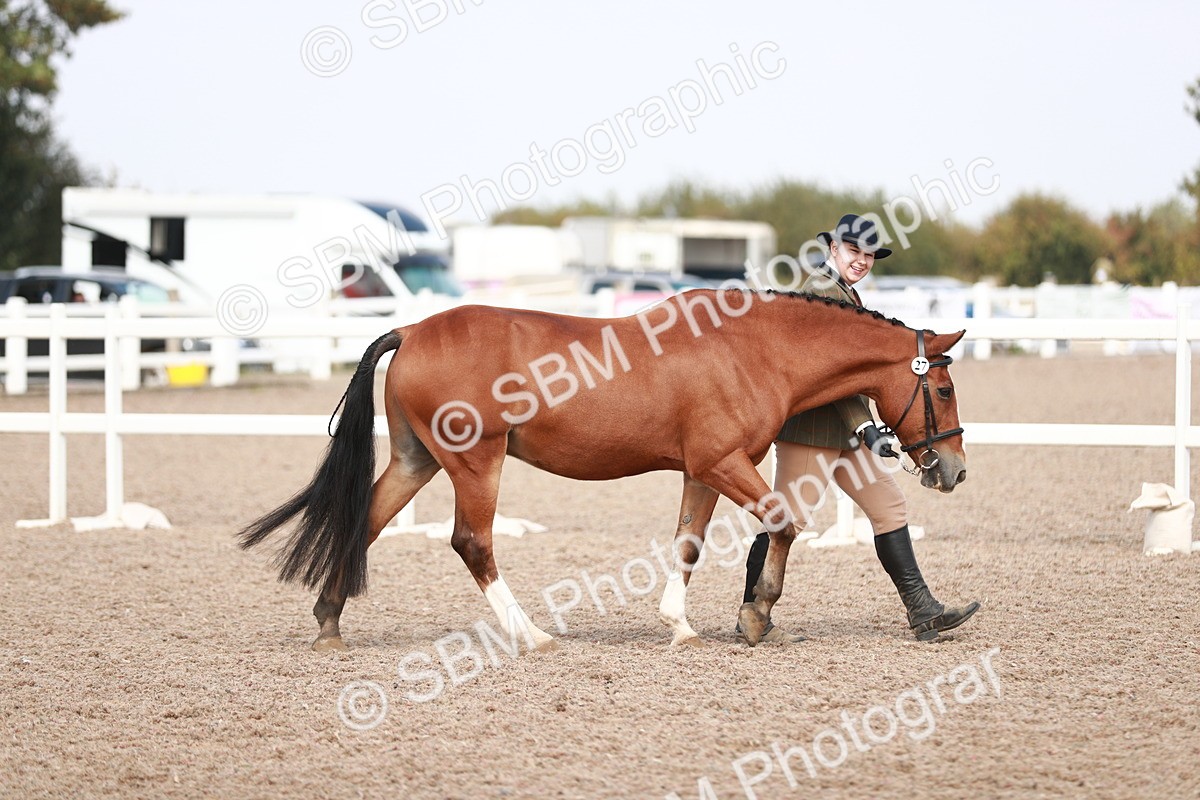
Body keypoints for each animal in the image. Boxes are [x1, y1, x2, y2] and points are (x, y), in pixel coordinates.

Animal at [238, 289, 967, 651]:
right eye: (945, 388)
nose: (953, 470)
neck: (751, 346)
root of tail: (413, 330)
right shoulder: (723, 462)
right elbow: (783, 524)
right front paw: (757, 615)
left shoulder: (701, 470)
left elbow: (689, 543)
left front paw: (681, 626)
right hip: (476, 463)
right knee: (472, 543)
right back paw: (531, 635)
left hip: (417, 461)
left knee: (364, 521)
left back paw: (330, 622)